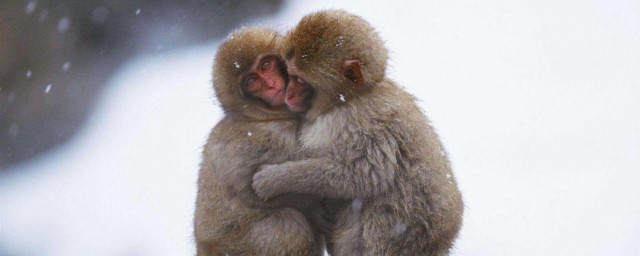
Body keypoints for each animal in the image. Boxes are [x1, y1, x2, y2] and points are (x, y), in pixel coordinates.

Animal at [192, 27, 324, 255]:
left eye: (266, 65)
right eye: (251, 81)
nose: (271, 84)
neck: (260, 117)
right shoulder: (264, 137)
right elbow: (254, 187)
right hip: (238, 246)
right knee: (291, 227)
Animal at [251, 10, 464, 256]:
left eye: (300, 80)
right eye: (289, 74)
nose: (289, 94)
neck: (352, 97)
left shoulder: (360, 122)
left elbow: (364, 174)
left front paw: (274, 179)